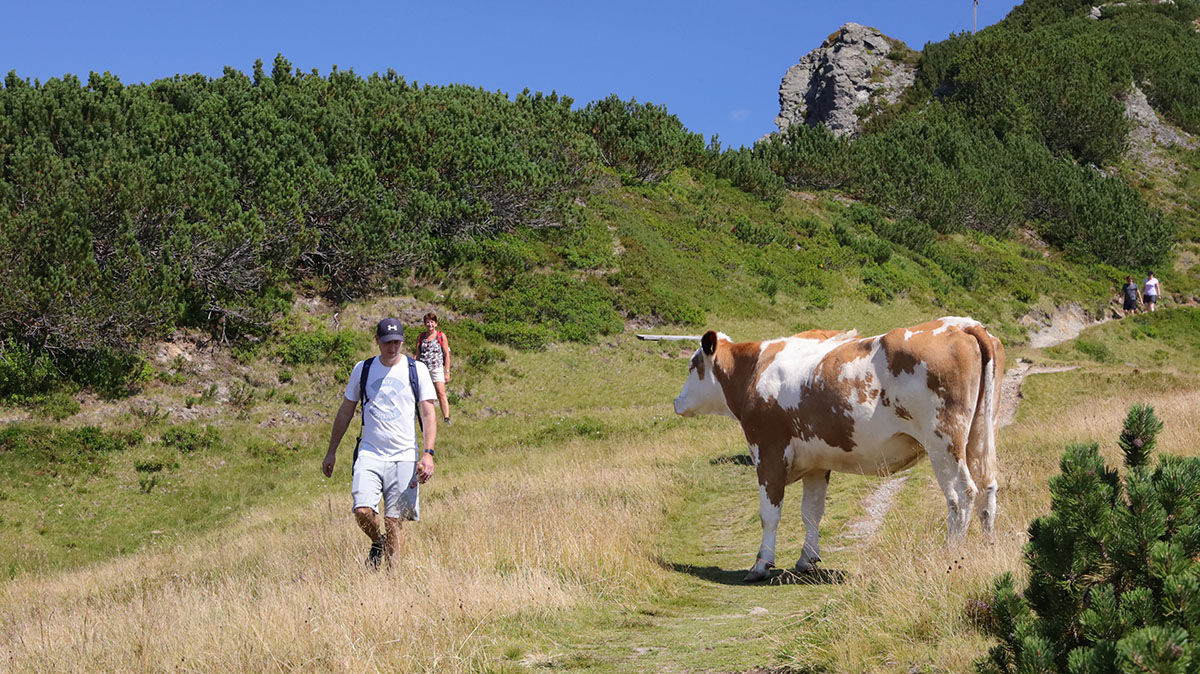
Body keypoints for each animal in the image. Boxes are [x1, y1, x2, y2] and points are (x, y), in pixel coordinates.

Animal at [676, 314, 1003, 578]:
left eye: (692, 366)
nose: (677, 401)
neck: (757, 369)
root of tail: (962, 323)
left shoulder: (768, 452)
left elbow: (769, 514)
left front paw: (761, 564)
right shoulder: (815, 464)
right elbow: (811, 511)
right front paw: (807, 559)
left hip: (943, 442)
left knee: (961, 494)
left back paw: (950, 553)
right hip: (979, 435)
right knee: (987, 489)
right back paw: (987, 549)